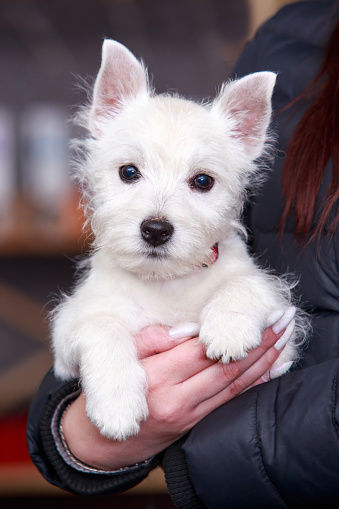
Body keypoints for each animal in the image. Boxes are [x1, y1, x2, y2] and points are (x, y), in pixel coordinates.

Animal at [52, 39, 306, 438]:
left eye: (202, 181)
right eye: (128, 172)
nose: (156, 230)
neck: (166, 281)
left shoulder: (282, 320)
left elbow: (244, 283)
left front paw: (229, 327)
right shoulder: (70, 326)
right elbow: (101, 327)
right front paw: (116, 405)